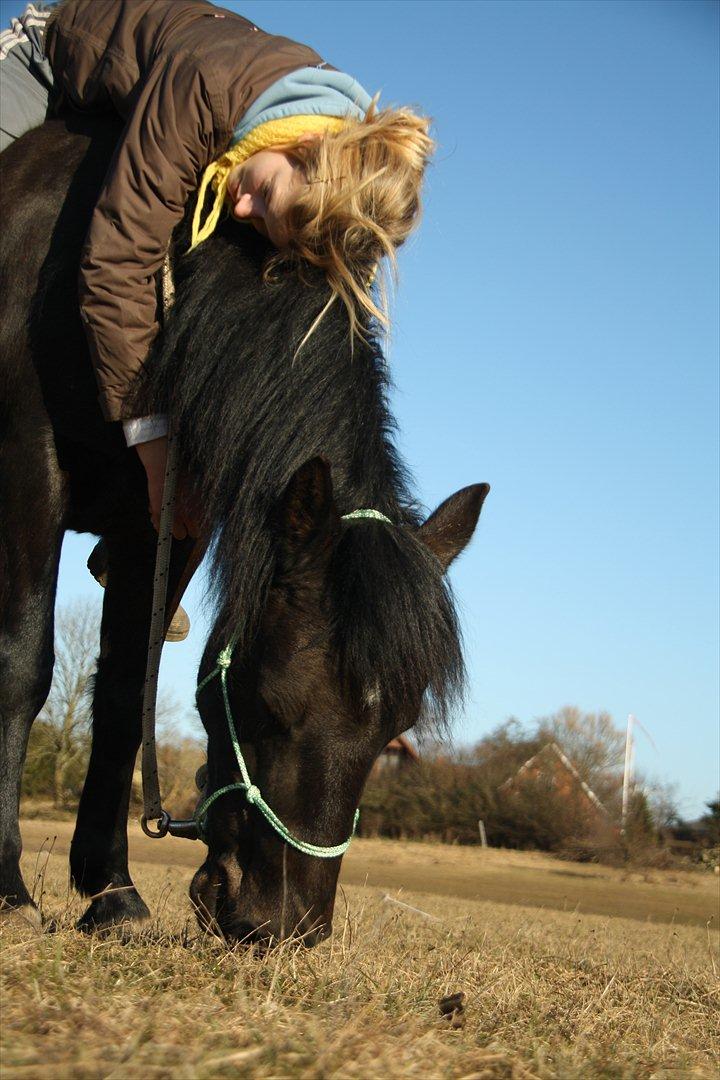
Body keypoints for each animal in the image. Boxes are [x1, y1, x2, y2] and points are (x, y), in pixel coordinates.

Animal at [0, 116, 488, 945]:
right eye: (267, 701)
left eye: (394, 726)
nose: (286, 926)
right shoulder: (29, 470)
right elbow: (23, 669)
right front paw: (7, 888)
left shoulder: (168, 522)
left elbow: (124, 693)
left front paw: (112, 890)